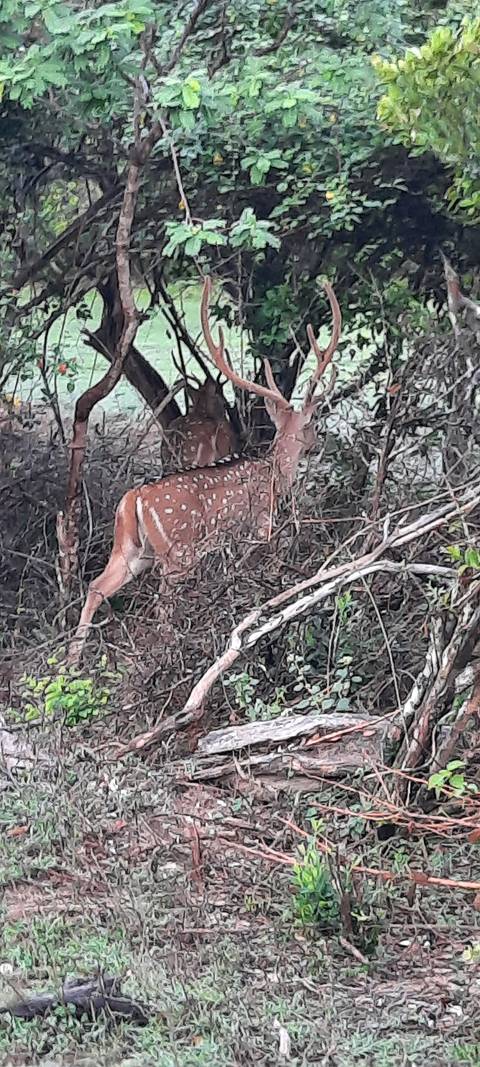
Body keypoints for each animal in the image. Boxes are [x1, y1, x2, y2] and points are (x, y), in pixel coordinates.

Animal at [68, 276, 341, 664]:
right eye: (312, 423)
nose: (316, 442)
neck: (275, 472)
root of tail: (134, 499)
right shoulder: (261, 524)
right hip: (177, 551)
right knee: (161, 602)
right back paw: (165, 654)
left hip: (131, 550)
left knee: (97, 586)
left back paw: (73, 659)